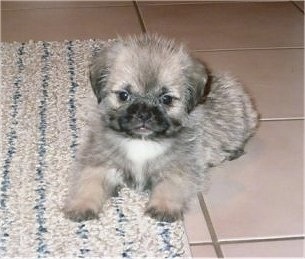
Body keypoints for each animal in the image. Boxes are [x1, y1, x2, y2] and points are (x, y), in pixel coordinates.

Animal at [63, 34, 256, 223]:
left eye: (166, 99)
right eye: (124, 95)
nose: (144, 114)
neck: (141, 141)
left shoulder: (178, 168)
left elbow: (169, 187)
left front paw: (164, 207)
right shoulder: (97, 162)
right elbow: (88, 184)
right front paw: (81, 206)